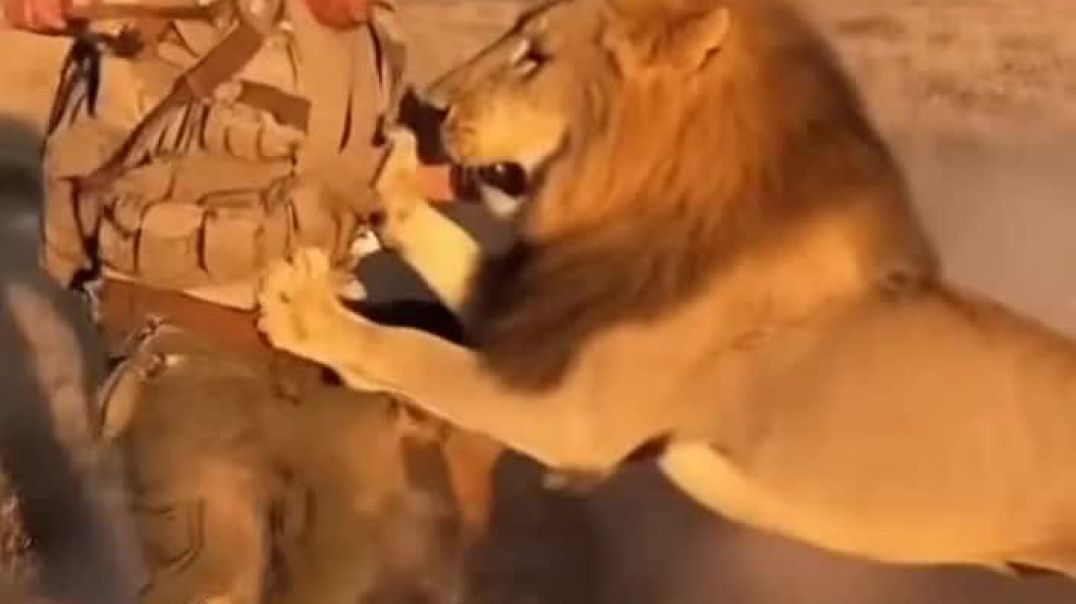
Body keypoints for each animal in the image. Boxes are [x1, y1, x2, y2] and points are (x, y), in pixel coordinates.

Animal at [256, 0, 1076, 577]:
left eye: (534, 57)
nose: (428, 105)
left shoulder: (574, 418)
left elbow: (420, 356)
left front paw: (308, 311)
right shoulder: (541, 315)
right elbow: (449, 258)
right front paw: (394, 176)